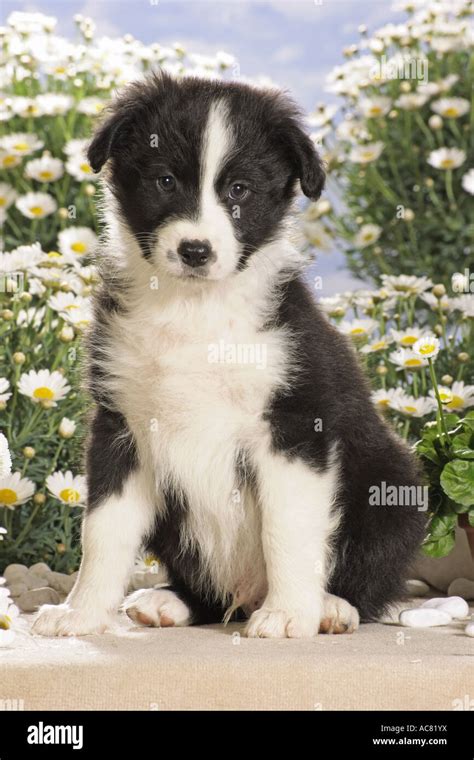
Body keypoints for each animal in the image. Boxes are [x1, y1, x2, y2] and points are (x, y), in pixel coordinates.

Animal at [33, 74, 426, 640]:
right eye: (165, 181)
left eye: (239, 189)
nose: (195, 250)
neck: (196, 310)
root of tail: (243, 593)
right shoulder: (121, 425)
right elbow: (103, 531)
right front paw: (80, 614)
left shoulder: (294, 425)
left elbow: (288, 527)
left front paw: (289, 614)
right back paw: (170, 602)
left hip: (392, 484)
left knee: (367, 574)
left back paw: (330, 607)